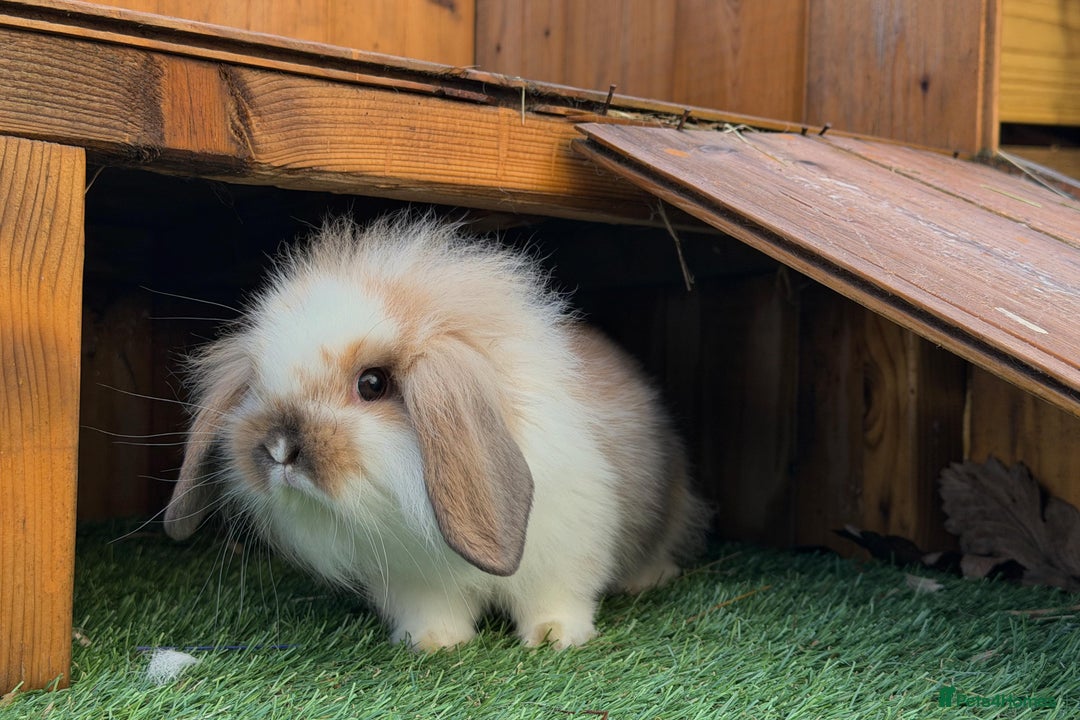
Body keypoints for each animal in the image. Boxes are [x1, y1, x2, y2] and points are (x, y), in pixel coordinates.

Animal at [164, 213, 708, 651]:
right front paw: (430, 643)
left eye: (372, 384)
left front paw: (554, 638)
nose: (278, 449)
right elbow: (434, 613)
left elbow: (555, 598)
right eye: (257, 382)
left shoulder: (566, 552)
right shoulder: (415, 581)